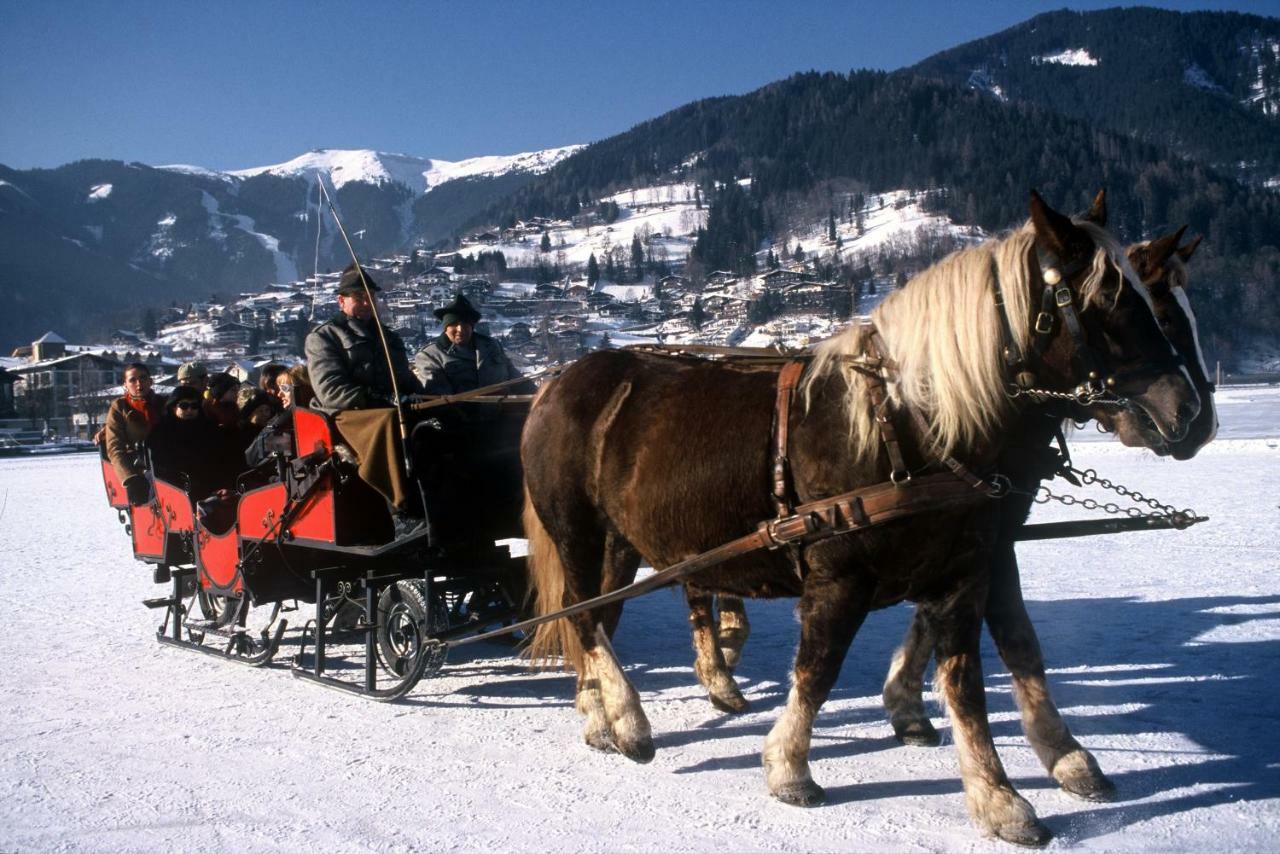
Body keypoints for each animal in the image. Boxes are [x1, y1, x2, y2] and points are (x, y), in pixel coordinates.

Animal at [519, 190, 1198, 845]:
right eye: (1106, 299)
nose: (1188, 412)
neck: (909, 425)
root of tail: (558, 379)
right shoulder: (840, 574)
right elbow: (820, 667)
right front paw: (789, 768)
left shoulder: (970, 565)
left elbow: (979, 674)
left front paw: (1002, 795)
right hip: (576, 530)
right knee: (584, 617)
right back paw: (629, 720)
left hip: (620, 540)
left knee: (597, 614)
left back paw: (599, 714)